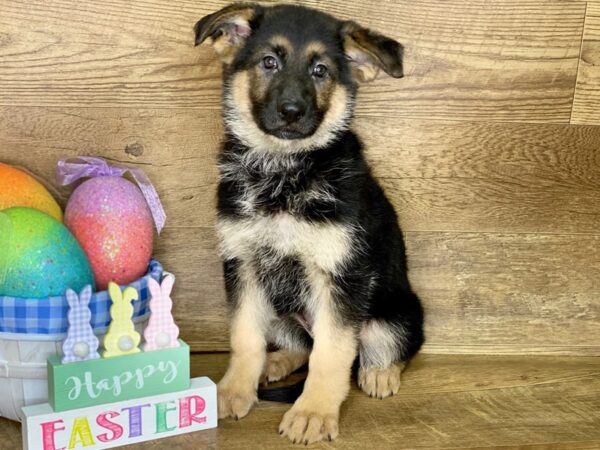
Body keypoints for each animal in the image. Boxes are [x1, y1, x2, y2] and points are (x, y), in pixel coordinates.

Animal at [195, 2, 424, 446]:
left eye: (321, 71)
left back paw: (380, 373)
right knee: (299, 345)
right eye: (269, 62)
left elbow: (332, 353)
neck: (282, 172)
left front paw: (314, 412)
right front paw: (233, 390)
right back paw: (275, 362)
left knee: (382, 348)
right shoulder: (243, 265)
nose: (291, 112)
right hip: (280, 310)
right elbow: (244, 337)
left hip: (393, 314)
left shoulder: (341, 276)